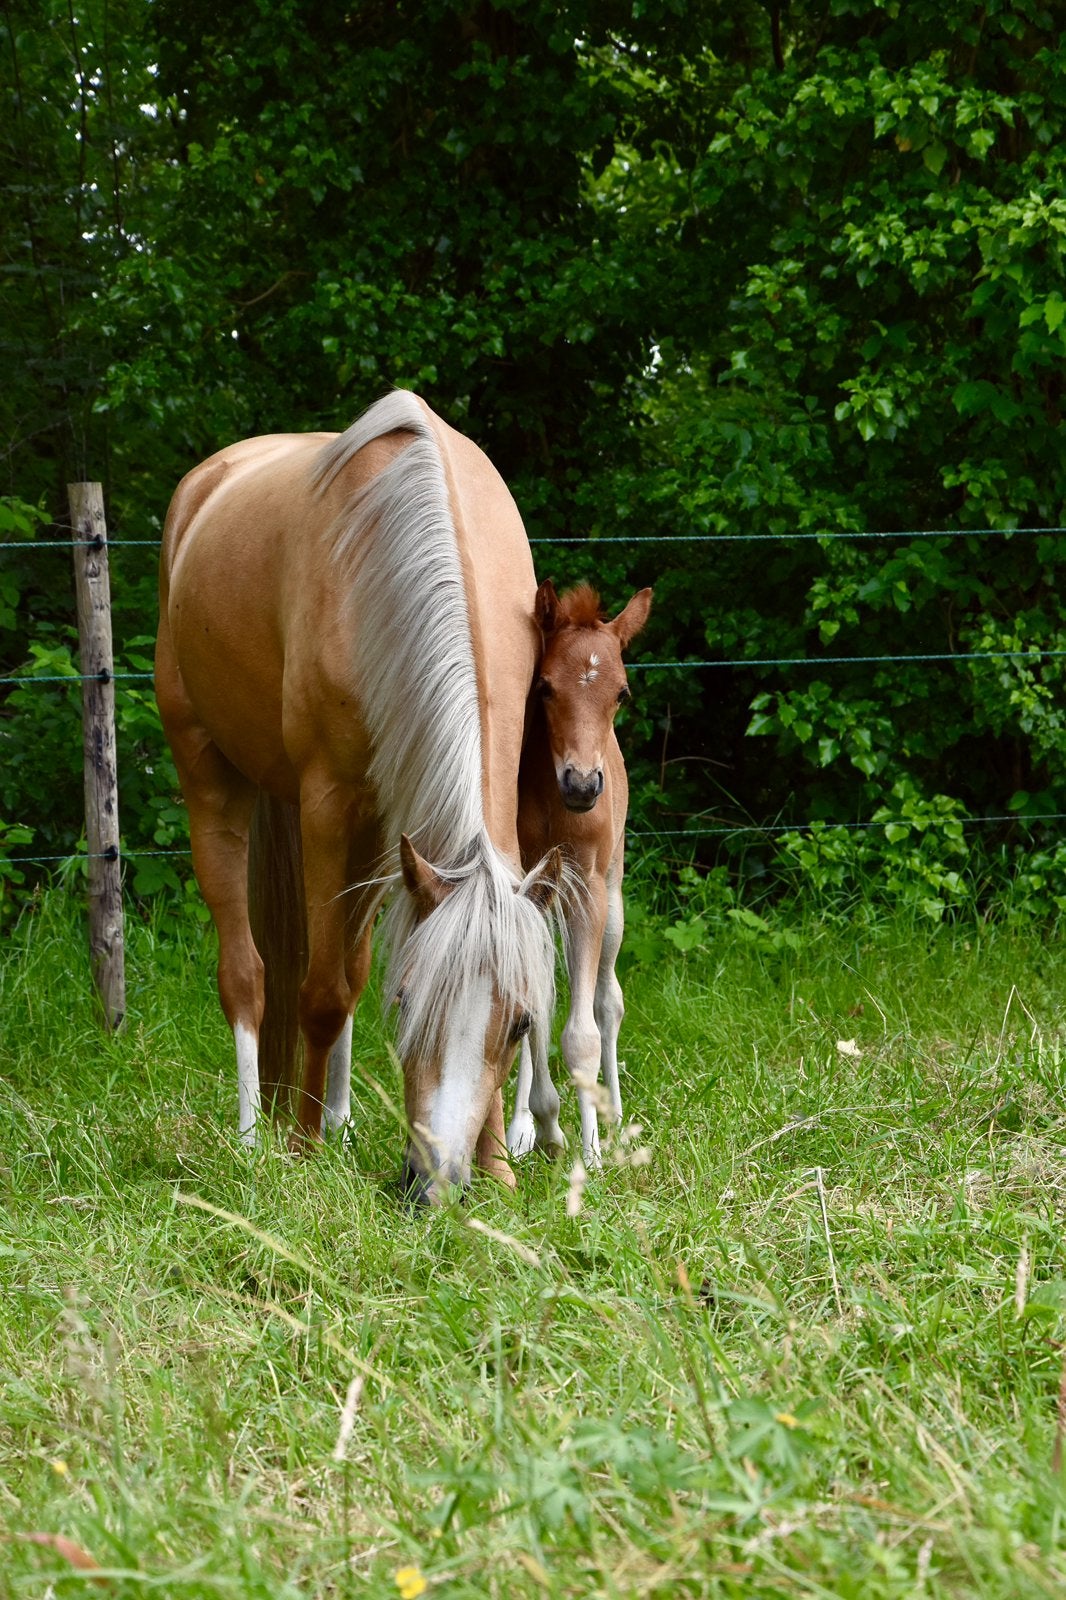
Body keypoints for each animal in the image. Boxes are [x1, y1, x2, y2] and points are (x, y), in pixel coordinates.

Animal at [155, 390, 562, 1203]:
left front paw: (498, 1163)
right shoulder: (328, 806)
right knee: (250, 975)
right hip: (210, 774)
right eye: (408, 1006)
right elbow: (321, 991)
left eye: (520, 1026)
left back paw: (336, 1119)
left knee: (345, 958)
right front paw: (303, 1148)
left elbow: (351, 974)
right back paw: (258, 1133)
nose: (436, 1182)